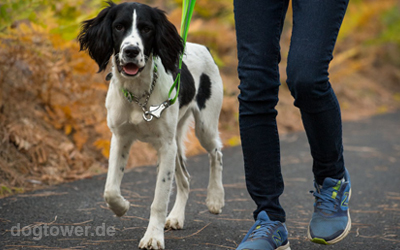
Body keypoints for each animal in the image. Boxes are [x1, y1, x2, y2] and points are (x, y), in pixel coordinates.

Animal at [78, 1, 225, 248]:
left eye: (147, 29)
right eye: (119, 26)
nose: (131, 51)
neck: (139, 94)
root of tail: (202, 46)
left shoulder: (165, 146)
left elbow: (158, 200)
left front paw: (153, 237)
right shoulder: (120, 138)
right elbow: (110, 190)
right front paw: (122, 207)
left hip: (204, 126)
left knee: (216, 153)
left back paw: (215, 197)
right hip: (176, 141)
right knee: (185, 179)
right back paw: (176, 217)